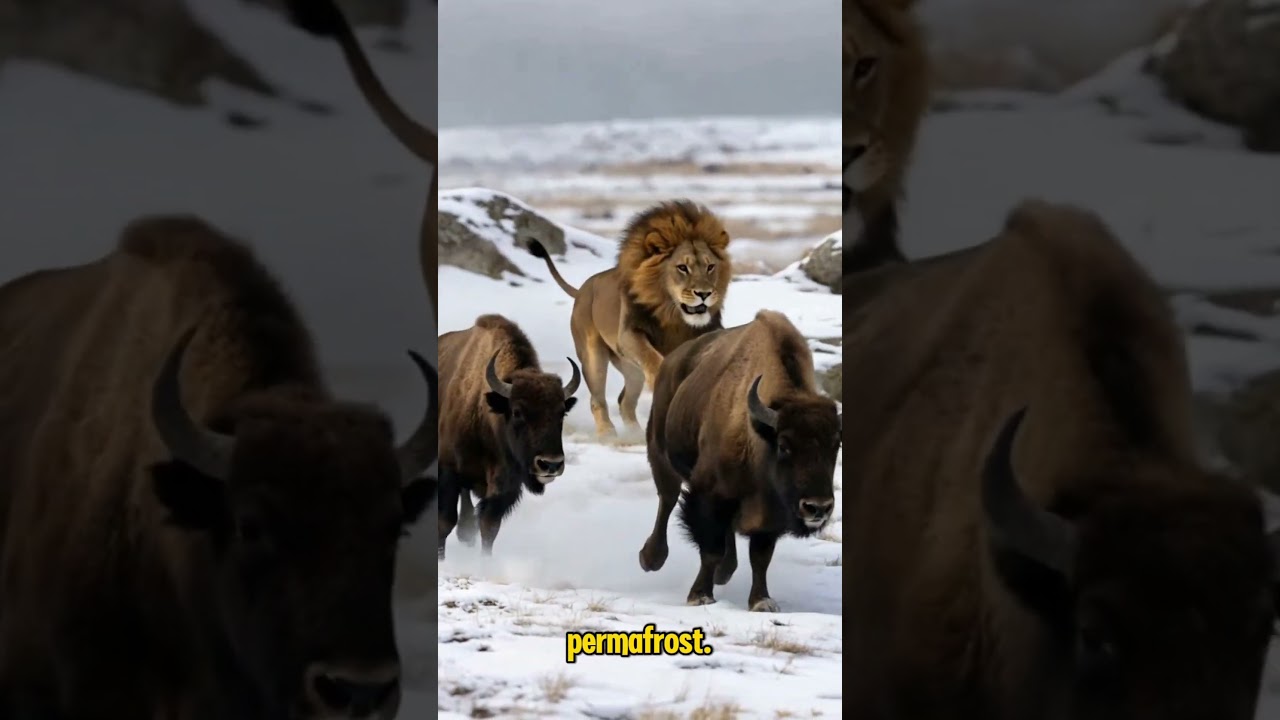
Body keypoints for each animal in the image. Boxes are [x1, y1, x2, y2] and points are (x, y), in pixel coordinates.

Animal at [437, 314, 581, 559]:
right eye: (517, 412)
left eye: (562, 412)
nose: (550, 464)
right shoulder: (448, 472)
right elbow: (445, 522)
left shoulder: (505, 487)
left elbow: (489, 527)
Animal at [638, 310, 841, 611]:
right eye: (784, 445)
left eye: (836, 445)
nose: (818, 507)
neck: (758, 434)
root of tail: (672, 361)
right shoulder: (709, 496)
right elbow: (711, 549)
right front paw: (700, 595)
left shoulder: (769, 516)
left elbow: (760, 558)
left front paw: (761, 601)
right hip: (661, 454)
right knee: (667, 500)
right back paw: (651, 558)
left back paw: (725, 571)